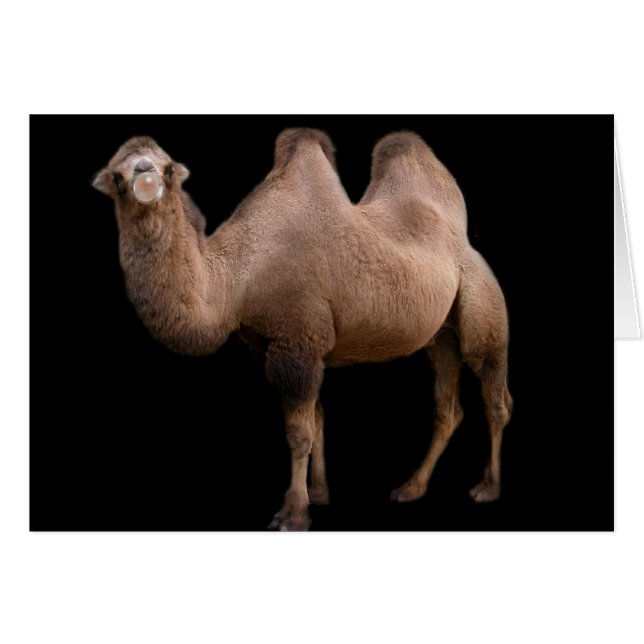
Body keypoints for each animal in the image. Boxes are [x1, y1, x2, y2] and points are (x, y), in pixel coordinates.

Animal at [93, 128, 513, 531]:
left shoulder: (297, 342)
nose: (145, 176)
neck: (239, 275)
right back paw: (411, 487)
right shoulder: (283, 348)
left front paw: (293, 514)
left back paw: (488, 487)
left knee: (494, 393)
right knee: (448, 407)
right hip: (441, 335)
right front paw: (319, 493)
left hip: (481, 307)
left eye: (166, 168)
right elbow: (317, 420)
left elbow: (299, 434)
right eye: (117, 175)